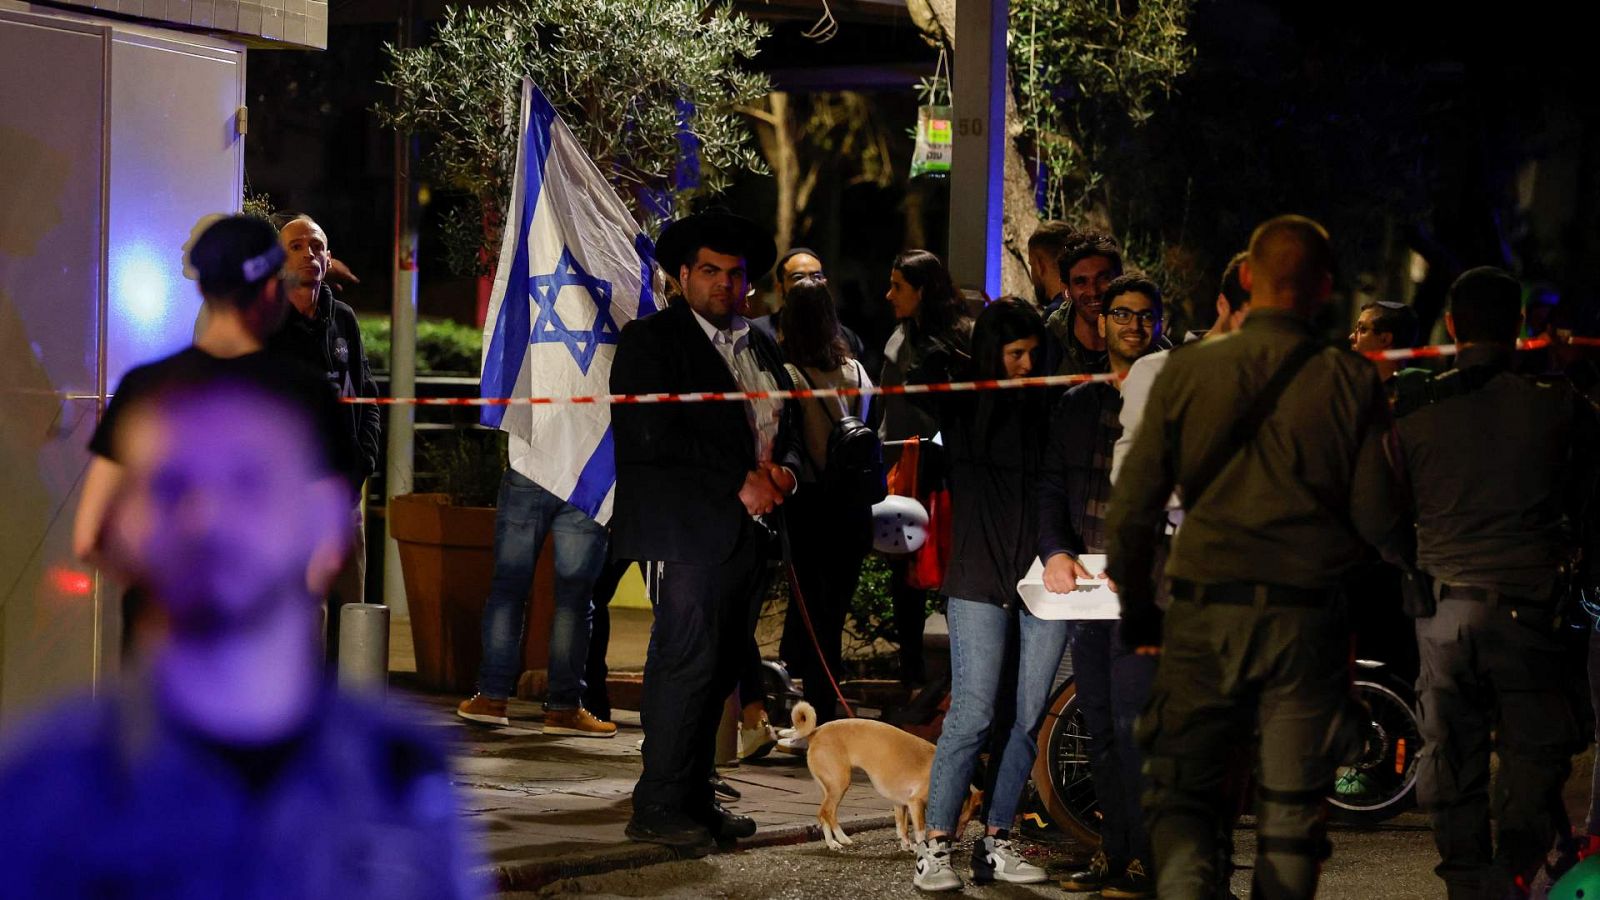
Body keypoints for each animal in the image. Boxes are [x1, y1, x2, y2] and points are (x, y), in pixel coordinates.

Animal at [790, 701, 979, 845]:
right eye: (964, 820)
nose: (958, 839)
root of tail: (815, 732)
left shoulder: (901, 804)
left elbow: (902, 828)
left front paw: (908, 846)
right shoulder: (915, 803)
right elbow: (919, 831)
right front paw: (921, 848)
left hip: (829, 788)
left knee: (823, 814)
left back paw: (833, 842)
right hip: (839, 785)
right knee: (827, 812)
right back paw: (841, 840)